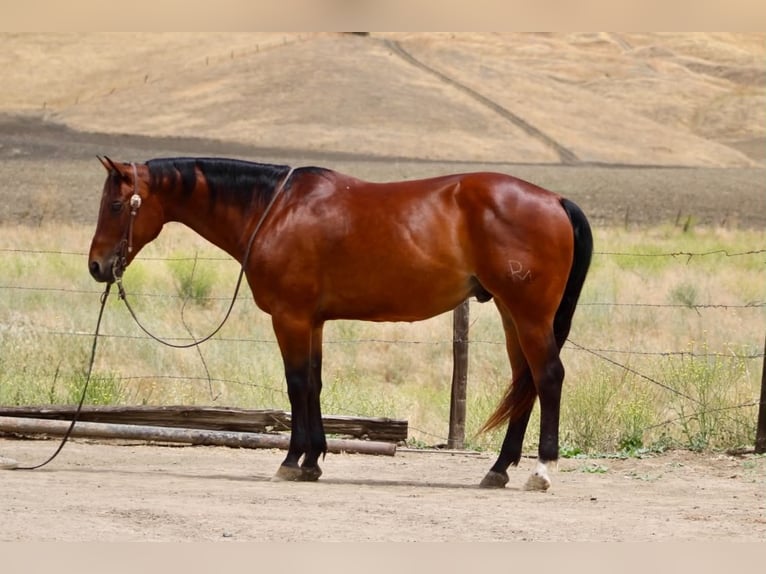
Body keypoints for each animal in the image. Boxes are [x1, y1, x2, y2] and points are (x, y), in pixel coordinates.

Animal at [88, 156, 592, 490]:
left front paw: (292, 460)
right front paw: (313, 461)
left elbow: (295, 385)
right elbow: (313, 384)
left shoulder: (290, 318)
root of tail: (555, 199)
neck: (275, 209)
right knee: (525, 382)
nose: (97, 266)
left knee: (548, 377)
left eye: (115, 205)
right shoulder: (312, 321)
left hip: (529, 315)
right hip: (511, 314)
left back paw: (542, 470)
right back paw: (498, 469)